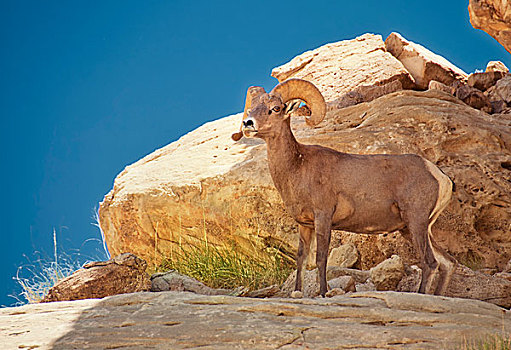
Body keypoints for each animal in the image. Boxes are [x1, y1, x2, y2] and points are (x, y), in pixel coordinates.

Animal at [232, 78, 456, 296]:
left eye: (275, 108)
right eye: (251, 109)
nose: (248, 124)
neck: (298, 166)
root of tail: (439, 177)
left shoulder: (323, 217)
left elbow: (321, 258)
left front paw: (324, 292)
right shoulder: (305, 225)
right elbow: (301, 259)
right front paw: (297, 292)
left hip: (416, 222)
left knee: (430, 262)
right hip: (412, 229)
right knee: (447, 262)